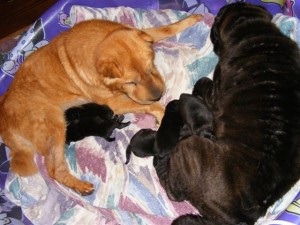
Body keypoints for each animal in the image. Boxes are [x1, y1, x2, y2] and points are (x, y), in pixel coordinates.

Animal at [0, 15, 202, 195]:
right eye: (132, 82)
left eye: (151, 67)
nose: (157, 94)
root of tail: (4, 122)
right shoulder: (114, 103)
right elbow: (154, 107)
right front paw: (161, 113)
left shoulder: (139, 32)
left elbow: (164, 29)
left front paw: (195, 18)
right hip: (53, 125)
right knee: (54, 169)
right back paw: (81, 186)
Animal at [155, 2, 300, 225]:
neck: (253, 29)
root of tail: (242, 215)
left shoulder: (215, 88)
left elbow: (203, 82)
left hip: (190, 149)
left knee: (174, 190)